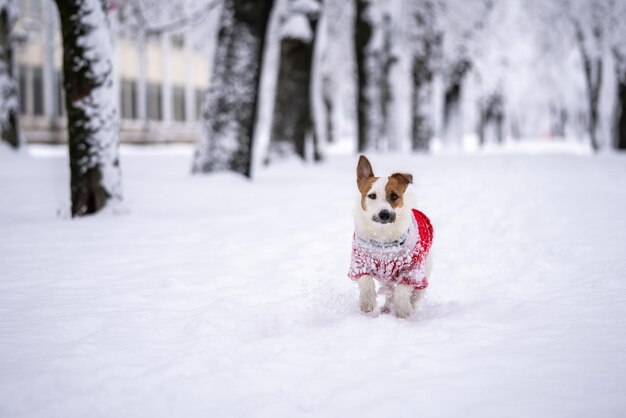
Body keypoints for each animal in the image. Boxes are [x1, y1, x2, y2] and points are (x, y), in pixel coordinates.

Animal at [346, 156, 434, 316]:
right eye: (372, 196)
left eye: (394, 196)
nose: (384, 214)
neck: (382, 236)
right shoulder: (359, 263)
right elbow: (366, 280)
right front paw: (367, 303)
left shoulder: (411, 269)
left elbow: (402, 289)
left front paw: (403, 309)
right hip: (386, 278)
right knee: (389, 292)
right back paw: (386, 307)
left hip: (424, 269)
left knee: (418, 290)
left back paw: (412, 302)